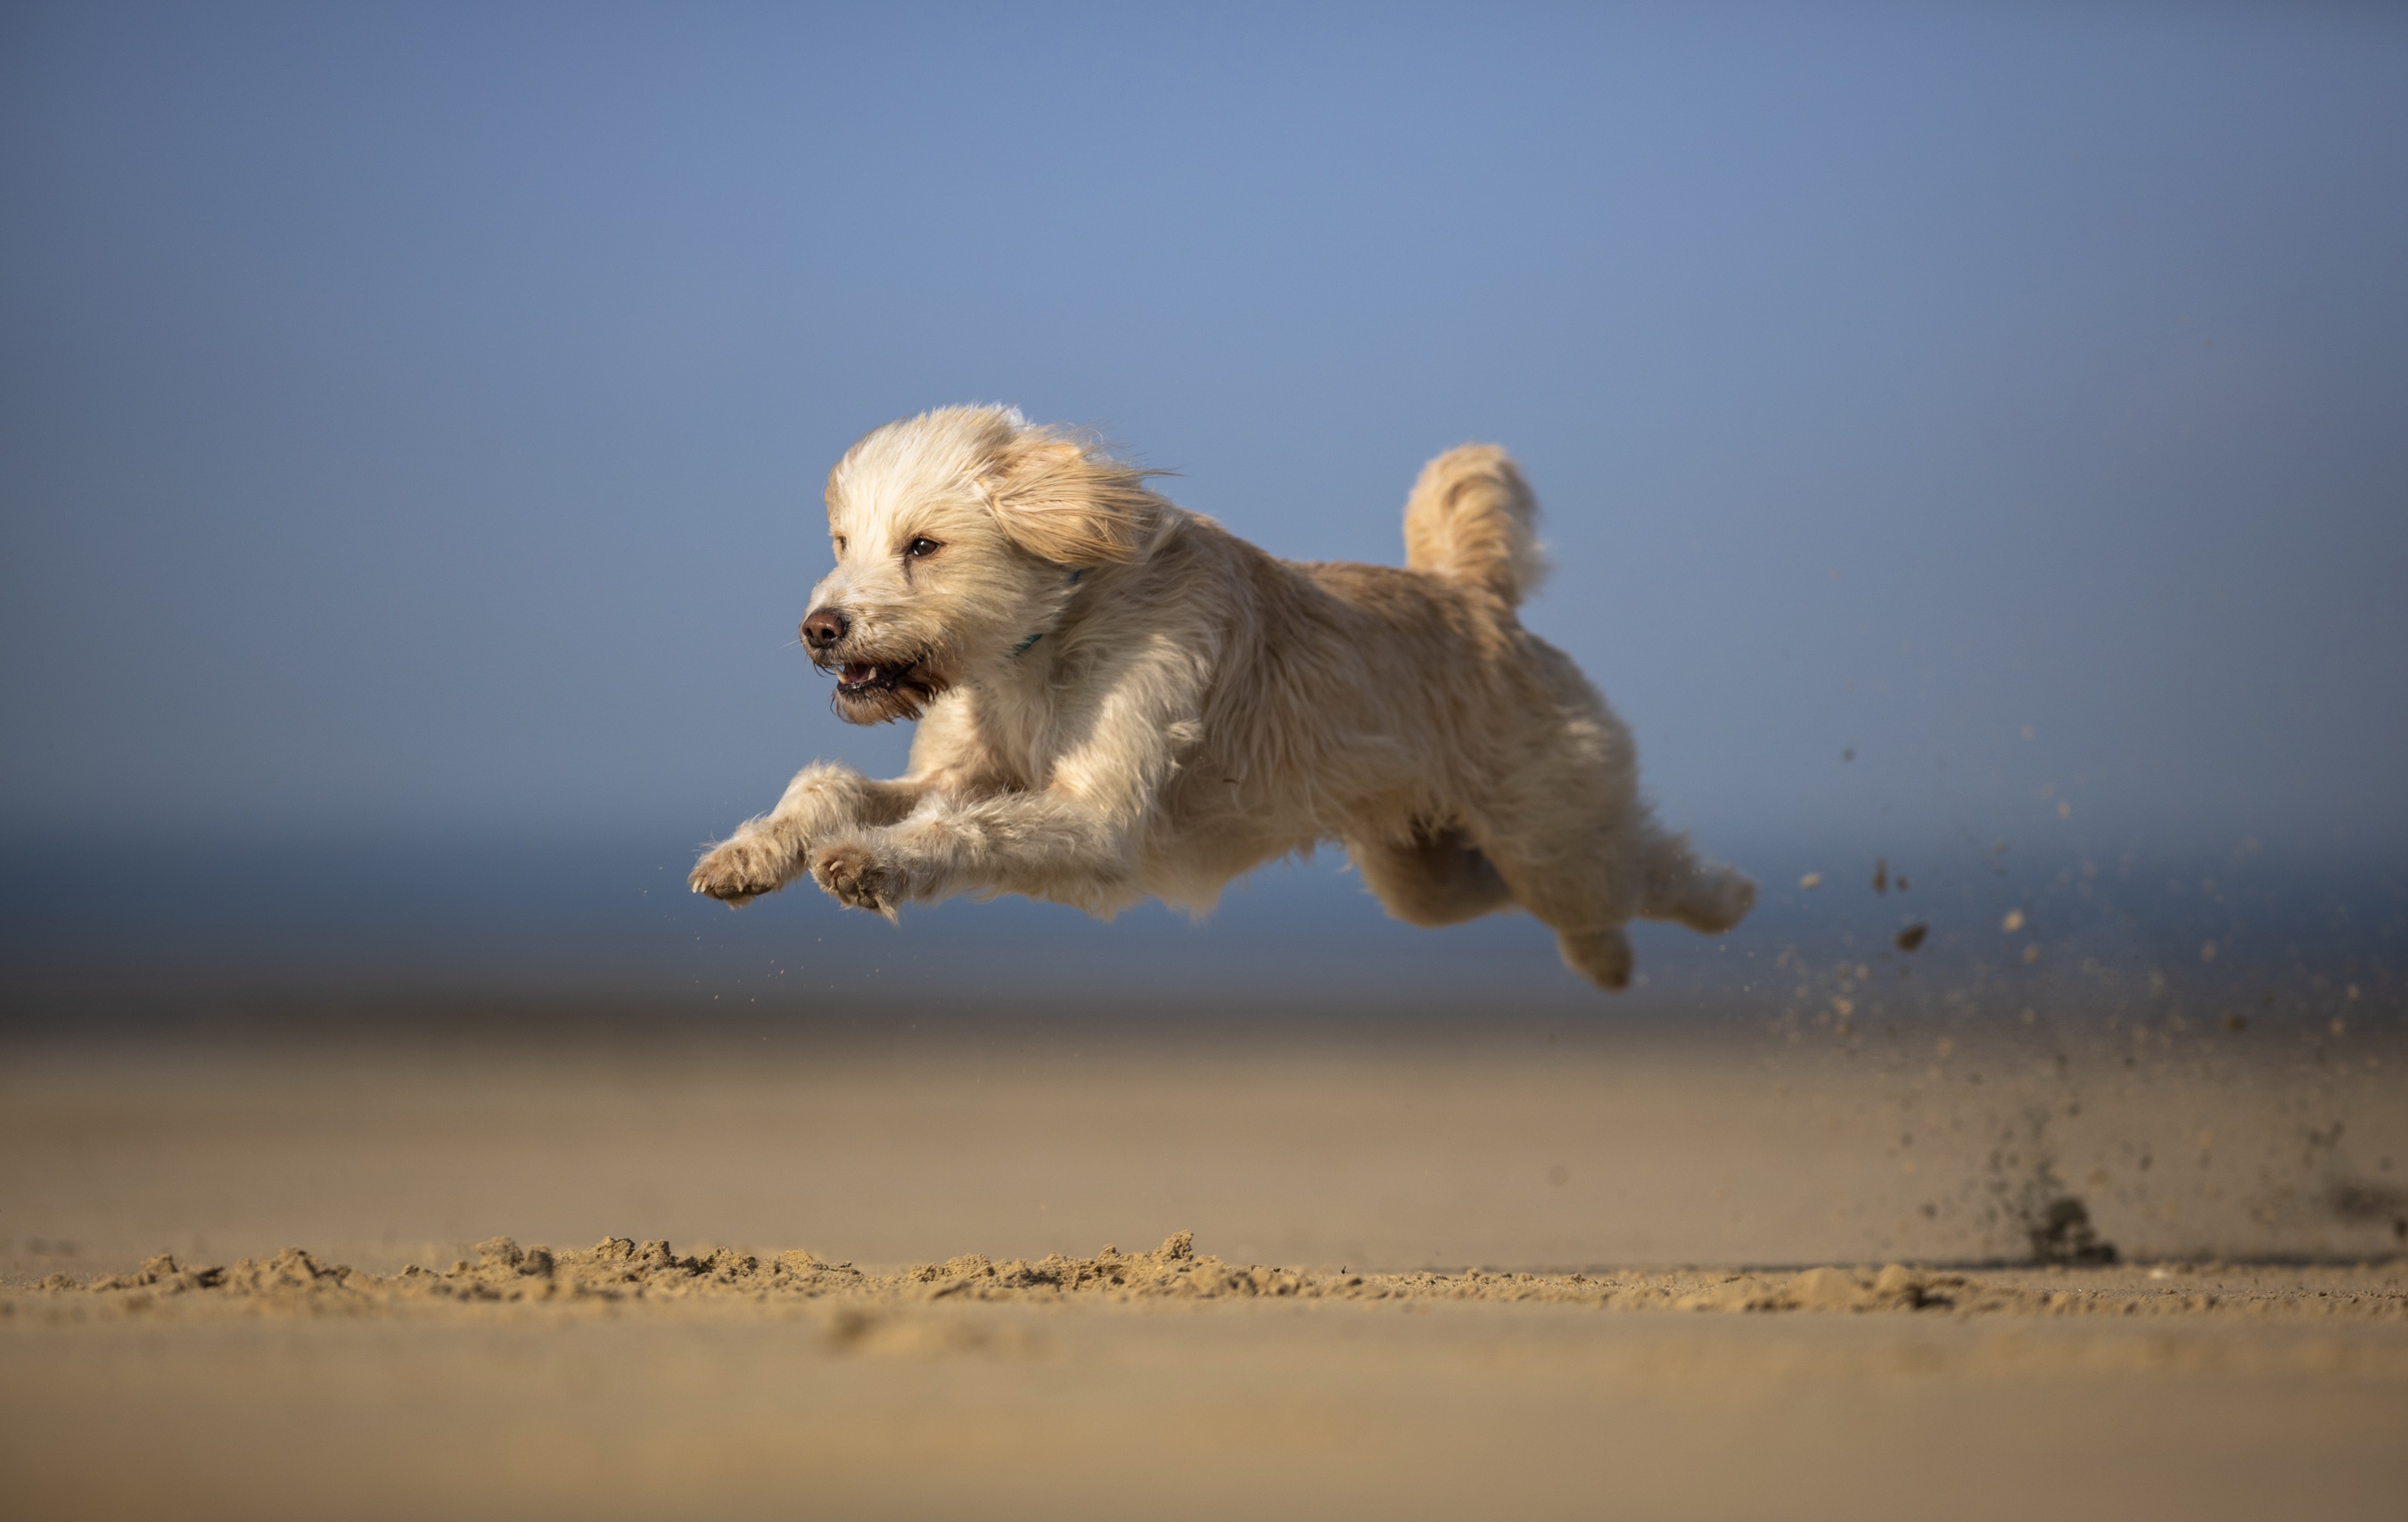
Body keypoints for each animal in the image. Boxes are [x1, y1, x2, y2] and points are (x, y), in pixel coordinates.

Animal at [688, 404, 1763, 987]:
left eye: (923, 545)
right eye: (843, 541)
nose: (819, 628)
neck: (1043, 642)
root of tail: (1473, 594)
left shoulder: (1096, 819)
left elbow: (966, 829)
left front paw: (874, 863)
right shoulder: (964, 769)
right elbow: (833, 783)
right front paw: (753, 853)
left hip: (1551, 833)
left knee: (1635, 870)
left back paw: (1725, 900)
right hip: (1425, 876)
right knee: (1523, 896)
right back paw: (1608, 961)